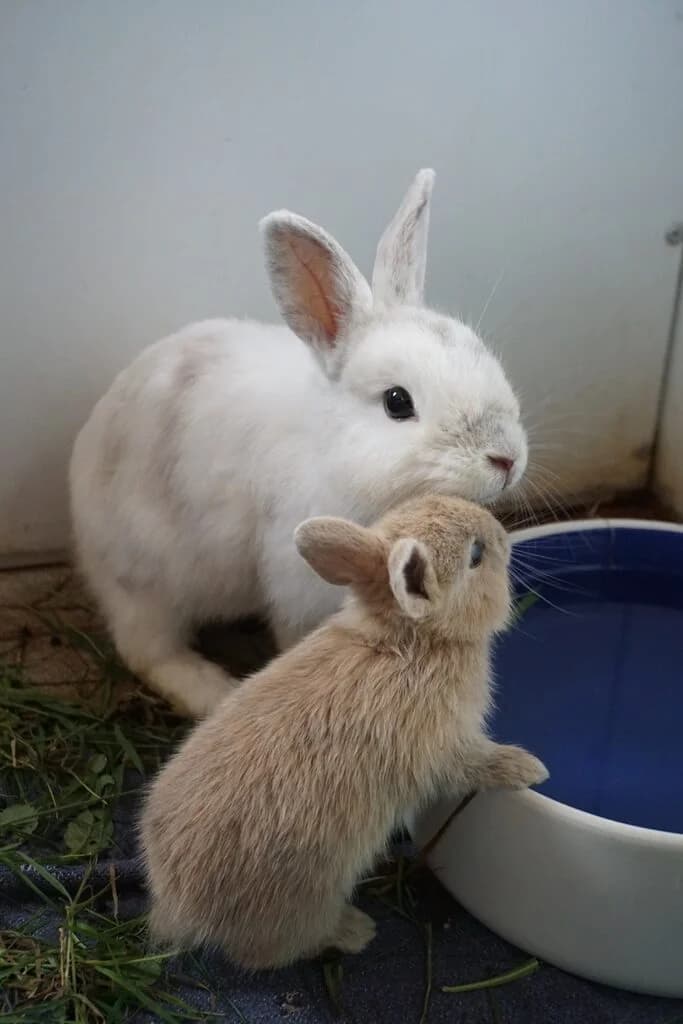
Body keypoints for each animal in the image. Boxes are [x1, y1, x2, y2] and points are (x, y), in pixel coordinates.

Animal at [69, 169, 529, 718]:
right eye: (397, 402)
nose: (506, 458)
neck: (334, 449)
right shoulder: (298, 582)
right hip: (148, 580)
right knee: (146, 649)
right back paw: (212, 691)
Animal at [140, 493, 548, 970]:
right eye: (477, 555)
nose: (501, 532)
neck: (408, 641)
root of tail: (179, 906)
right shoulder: (443, 747)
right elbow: (476, 765)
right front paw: (528, 768)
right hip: (299, 906)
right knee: (268, 953)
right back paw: (355, 932)